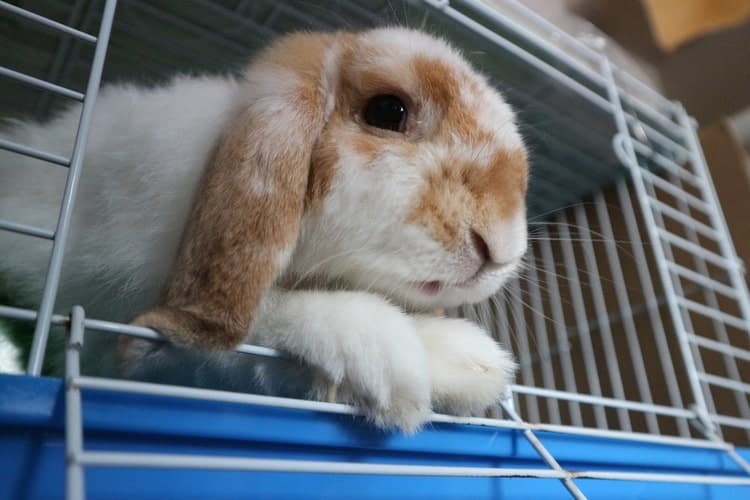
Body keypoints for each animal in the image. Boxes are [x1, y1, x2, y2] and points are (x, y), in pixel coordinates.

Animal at [0, 28, 528, 434]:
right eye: (387, 111)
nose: (501, 247)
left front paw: (470, 366)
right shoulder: (134, 351)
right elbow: (251, 327)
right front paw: (407, 355)